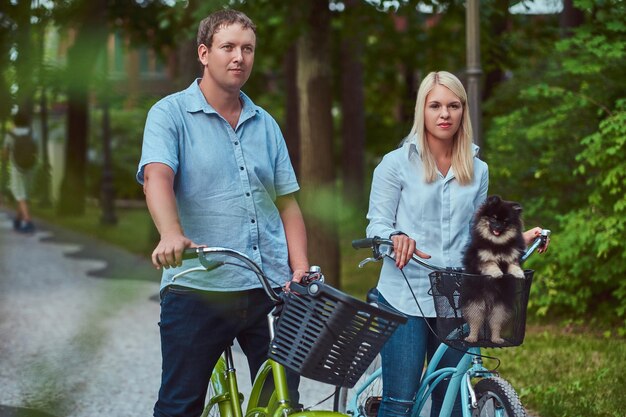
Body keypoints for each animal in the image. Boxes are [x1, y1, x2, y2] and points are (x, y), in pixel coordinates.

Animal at [460, 193, 524, 342]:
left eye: (505, 222)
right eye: (494, 218)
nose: (498, 227)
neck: (497, 244)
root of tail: (488, 304)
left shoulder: (511, 256)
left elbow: (513, 264)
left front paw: (519, 273)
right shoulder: (481, 258)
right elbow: (491, 264)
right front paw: (497, 273)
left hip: (499, 308)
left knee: (495, 324)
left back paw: (496, 339)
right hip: (475, 305)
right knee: (475, 323)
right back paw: (472, 338)